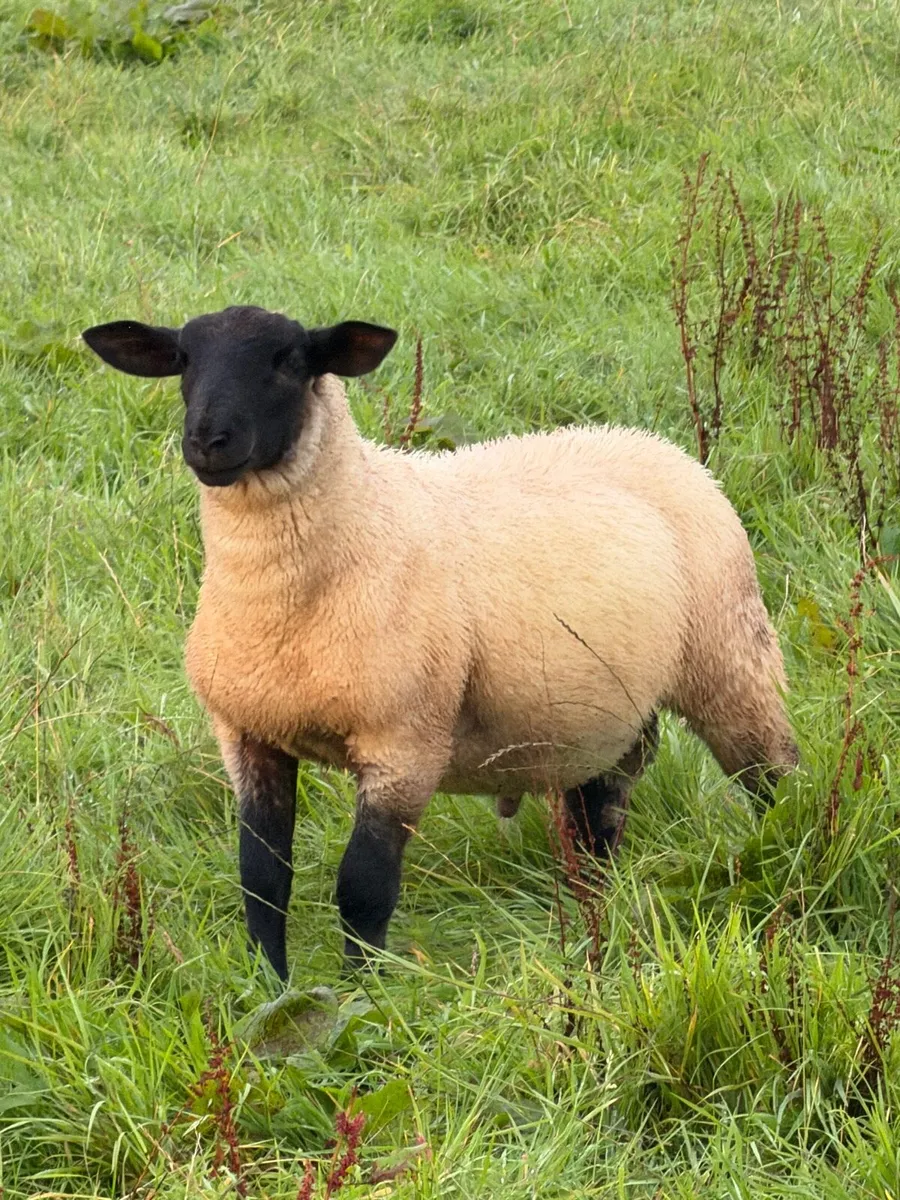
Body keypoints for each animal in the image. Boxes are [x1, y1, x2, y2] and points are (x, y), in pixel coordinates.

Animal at [82, 304, 798, 979]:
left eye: (289, 360)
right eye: (183, 359)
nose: (208, 442)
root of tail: (651, 443)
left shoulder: (405, 742)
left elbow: (364, 887)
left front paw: (362, 995)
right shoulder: (249, 733)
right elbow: (262, 883)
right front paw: (270, 987)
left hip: (731, 657)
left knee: (773, 774)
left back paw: (787, 854)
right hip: (602, 712)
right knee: (601, 809)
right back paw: (594, 914)